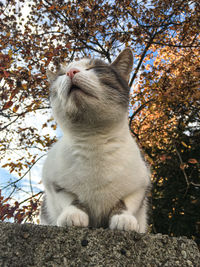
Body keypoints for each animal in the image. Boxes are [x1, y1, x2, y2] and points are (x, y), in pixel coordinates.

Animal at [40, 49, 150, 233]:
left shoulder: (139, 186)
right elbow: (70, 200)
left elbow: (125, 202)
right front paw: (73, 214)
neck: (94, 139)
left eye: (95, 68)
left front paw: (123, 218)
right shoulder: (55, 184)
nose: (71, 72)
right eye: (61, 74)